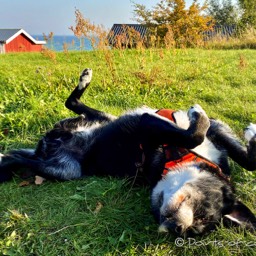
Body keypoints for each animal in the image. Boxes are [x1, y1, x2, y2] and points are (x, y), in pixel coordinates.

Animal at [0, 68, 256, 236]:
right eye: (202, 212)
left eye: (194, 230)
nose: (174, 229)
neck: (189, 158)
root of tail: (44, 146)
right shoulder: (215, 132)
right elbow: (239, 155)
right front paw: (251, 134)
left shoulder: (148, 126)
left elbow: (194, 135)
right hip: (103, 119)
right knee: (71, 104)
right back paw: (85, 79)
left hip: (63, 169)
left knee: (19, 157)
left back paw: (5, 160)